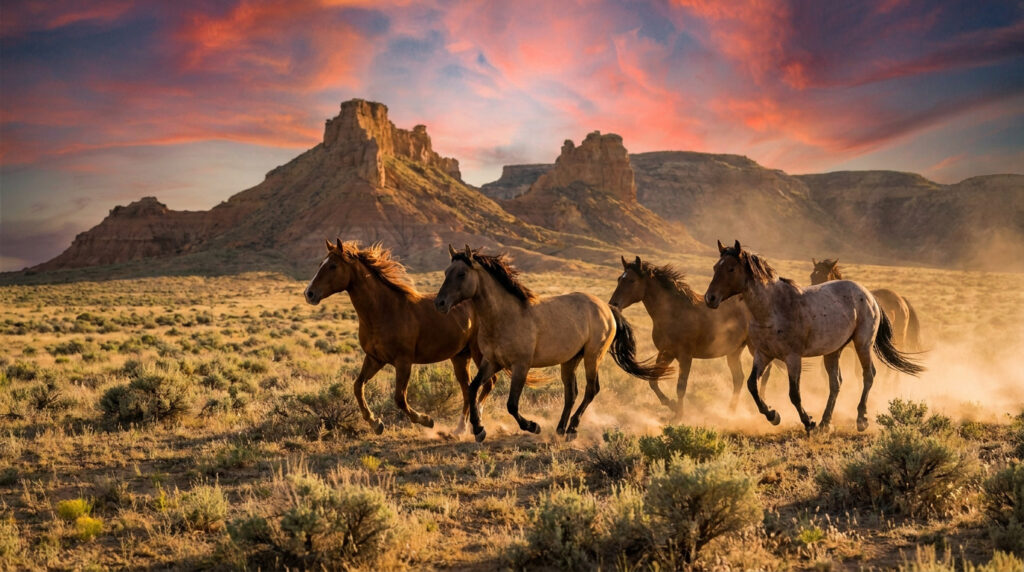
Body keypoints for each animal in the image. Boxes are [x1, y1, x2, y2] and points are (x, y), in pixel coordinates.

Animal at [304, 239, 495, 435]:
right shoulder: (375, 359)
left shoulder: (403, 362)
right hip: (460, 356)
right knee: (467, 388)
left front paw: (426, 420)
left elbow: (400, 398)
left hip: (478, 352)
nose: (309, 293)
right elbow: (358, 387)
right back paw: (460, 429)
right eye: (320, 264)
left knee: (488, 383)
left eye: (333, 266)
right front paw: (375, 423)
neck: (384, 310)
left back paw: (476, 423)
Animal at [434, 245, 670, 442]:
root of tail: (607, 308)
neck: (504, 317)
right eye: (445, 272)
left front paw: (533, 426)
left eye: (462, 274)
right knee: (571, 393)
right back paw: (560, 428)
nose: (440, 303)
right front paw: (478, 430)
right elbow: (473, 388)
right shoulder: (491, 362)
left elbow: (511, 404)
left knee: (591, 389)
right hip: (570, 360)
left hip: (593, 356)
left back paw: (572, 429)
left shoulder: (521, 365)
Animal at [608, 255, 772, 418]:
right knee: (739, 378)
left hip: (753, 347)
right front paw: (671, 405)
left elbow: (681, 386)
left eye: (632, 280)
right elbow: (653, 381)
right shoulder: (666, 352)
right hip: (734, 351)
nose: (613, 304)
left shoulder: (685, 356)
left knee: (764, 371)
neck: (674, 313)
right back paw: (731, 411)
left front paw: (678, 415)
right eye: (619, 279)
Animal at [704, 240, 924, 433]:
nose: (710, 298)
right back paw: (825, 423)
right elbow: (752, 385)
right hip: (833, 352)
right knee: (836, 384)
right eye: (715, 267)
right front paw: (773, 415)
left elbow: (794, 394)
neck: (772, 309)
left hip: (862, 344)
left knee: (868, 375)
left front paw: (808, 421)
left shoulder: (793, 358)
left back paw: (861, 419)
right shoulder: (763, 354)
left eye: (731, 269)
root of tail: (869, 295)